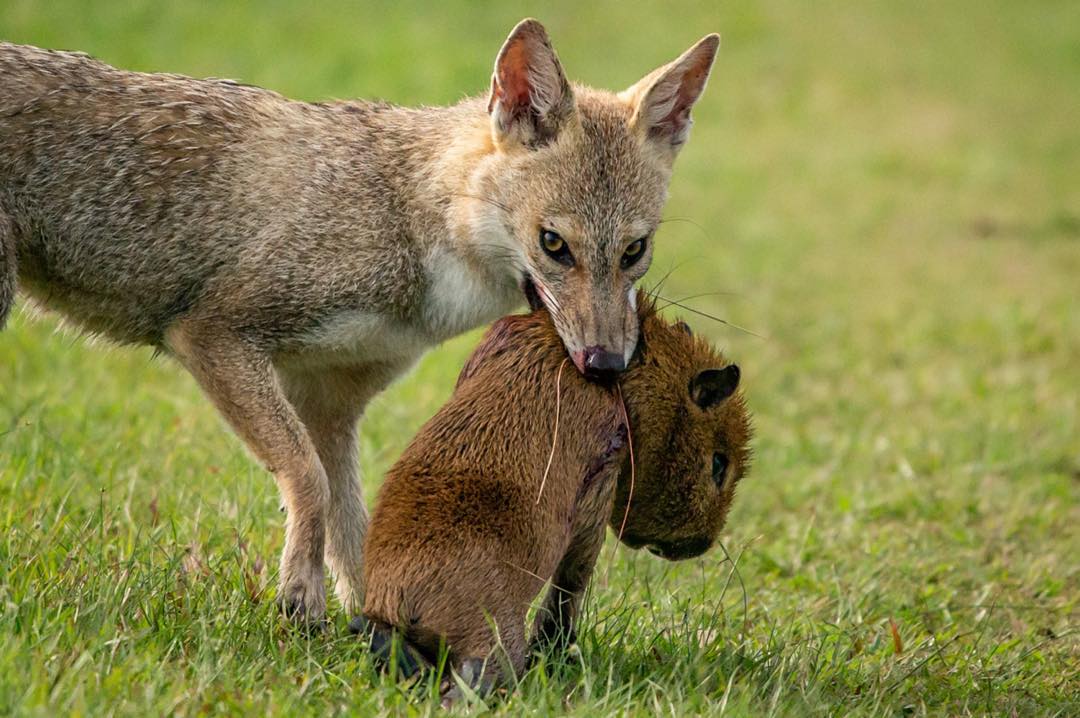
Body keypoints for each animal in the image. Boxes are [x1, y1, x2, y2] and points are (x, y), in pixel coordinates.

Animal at [2, 18, 725, 621]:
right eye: (554, 245)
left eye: (635, 252)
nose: (606, 365)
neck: (408, 213)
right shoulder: (212, 335)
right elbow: (309, 481)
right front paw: (301, 598)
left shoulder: (328, 403)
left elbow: (353, 526)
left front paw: (371, 629)